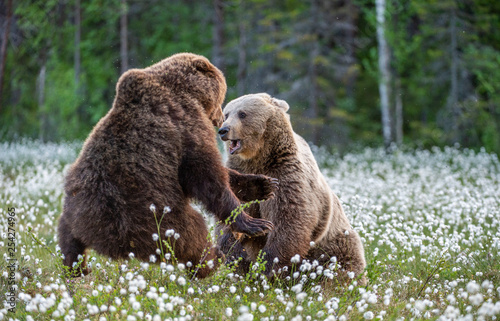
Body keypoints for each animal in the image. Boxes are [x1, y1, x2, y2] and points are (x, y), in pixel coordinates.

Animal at [59, 53, 278, 278]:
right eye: (221, 102)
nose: (219, 122)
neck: (186, 92)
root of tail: (95, 235)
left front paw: (263, 185)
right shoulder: (185, 124)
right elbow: (205, 176)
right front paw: (254, 223)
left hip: (72, 211)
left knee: (69, 245)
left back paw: (78, 268)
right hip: (147, 215)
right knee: (191, 232)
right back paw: (211, 260)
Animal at [217, 92, 366, 282]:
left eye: (242, 114)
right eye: (227, 114)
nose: (223, 130)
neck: (259, 158)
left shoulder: (286, 176)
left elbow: (290, 220)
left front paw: (267, 267)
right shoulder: (242, 175)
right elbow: (231, 216)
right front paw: (237, 255)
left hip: (333, 242)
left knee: (341, 262)